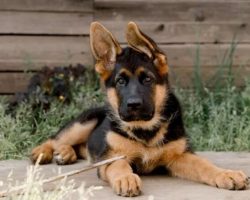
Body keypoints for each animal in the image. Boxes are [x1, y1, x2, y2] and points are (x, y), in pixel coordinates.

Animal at [31, 21, 248, 197]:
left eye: (147, 79)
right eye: (120, 81)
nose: (133, 104)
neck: (144, 129)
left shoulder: (179, 155)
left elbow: (203, 164)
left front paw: (226, 174)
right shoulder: (111, 157)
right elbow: (119, 165)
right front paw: (125, 178)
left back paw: (66, 154)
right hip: (84, 122)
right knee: (56, 139)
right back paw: (43, 152)